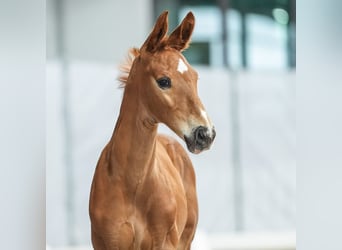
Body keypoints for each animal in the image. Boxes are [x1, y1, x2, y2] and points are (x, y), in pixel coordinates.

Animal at [89, 10, 215, 249]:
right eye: (164, 81)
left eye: (195, 77)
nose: (206, 134)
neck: (132, 185)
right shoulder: (108, 242)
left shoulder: (165, 242)